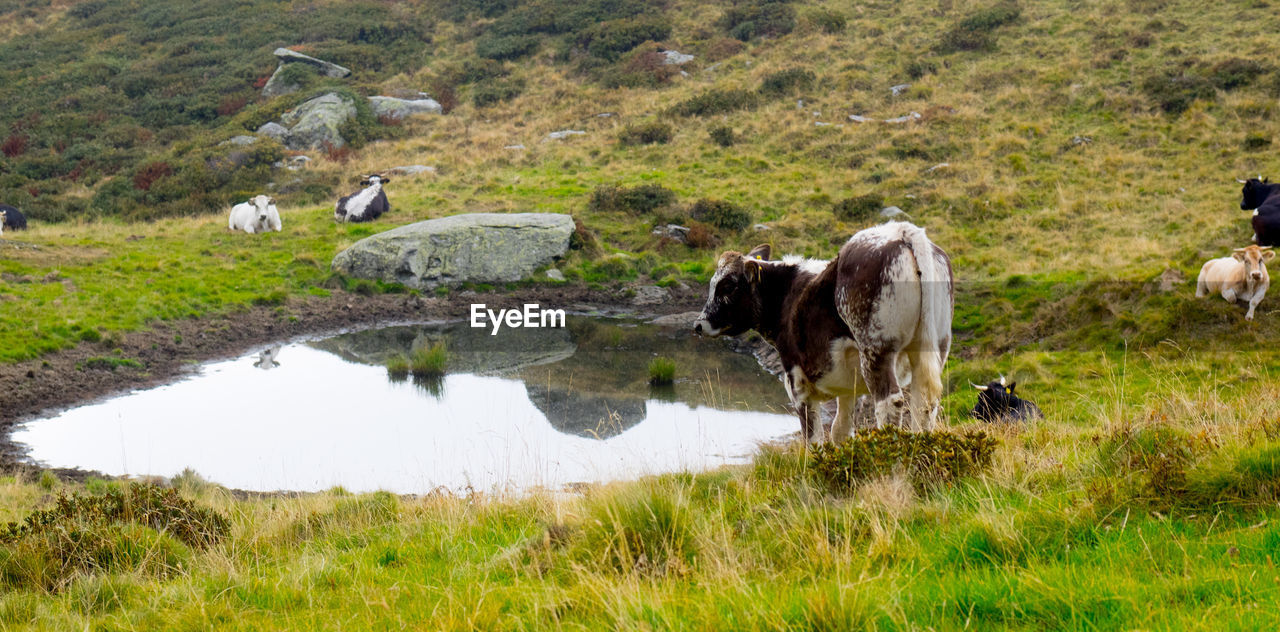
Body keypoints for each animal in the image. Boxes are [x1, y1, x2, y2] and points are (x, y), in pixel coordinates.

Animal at [696, 222, 957, 445]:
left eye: (728, 286)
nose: (699, 324)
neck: (788, 295)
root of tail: (900, 231)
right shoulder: (849, 387)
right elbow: (840, 430)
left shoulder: (798, 384)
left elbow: (813, 439)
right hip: (934, 347)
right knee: (924, 402)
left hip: (877, 349)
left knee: (889, 403)